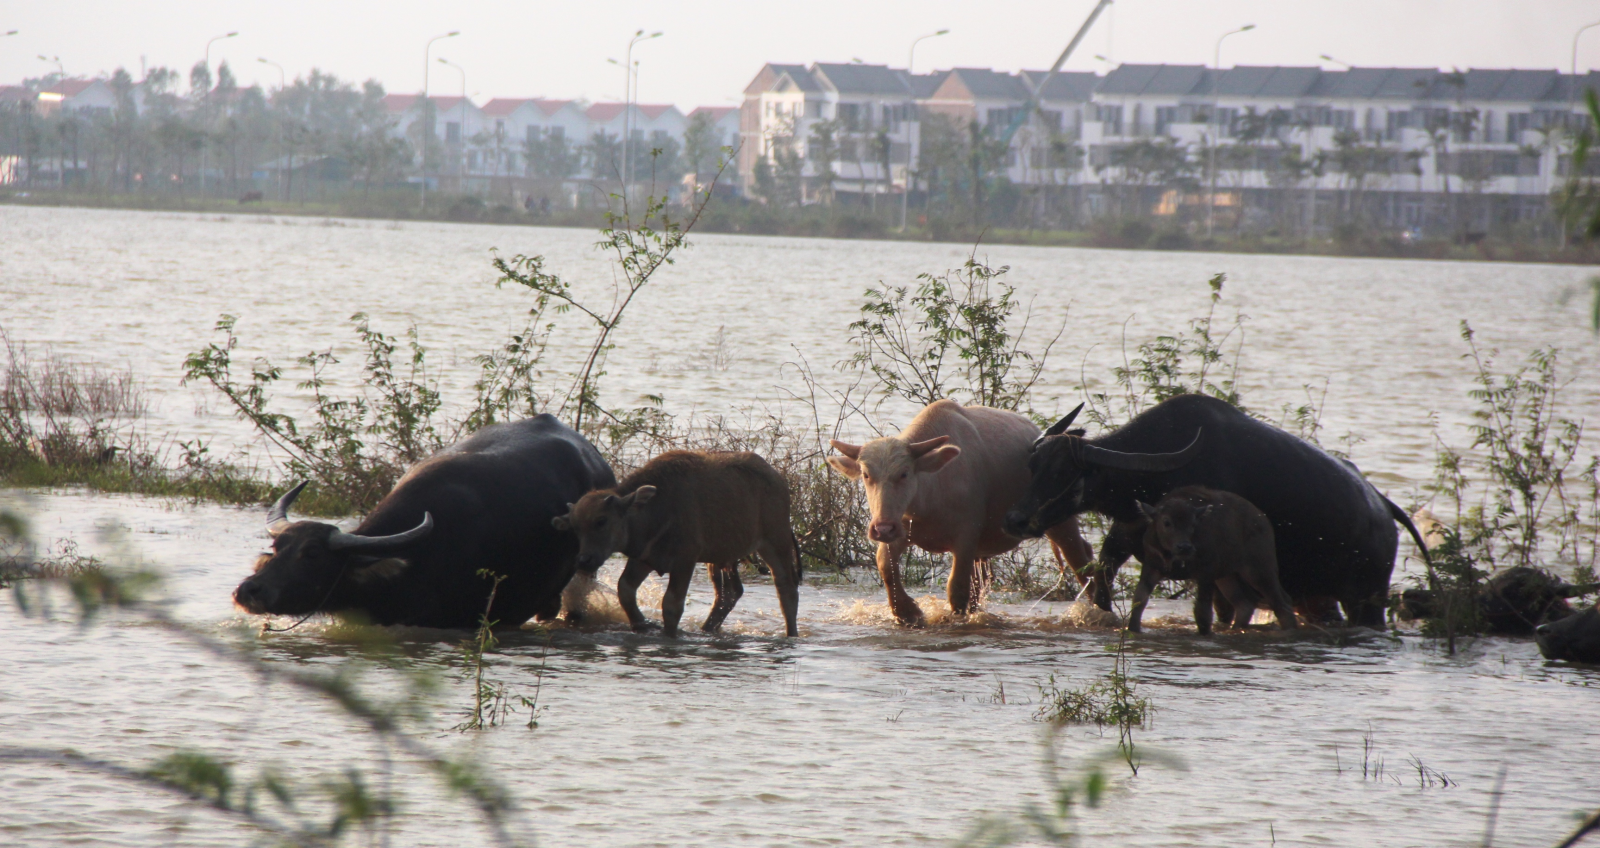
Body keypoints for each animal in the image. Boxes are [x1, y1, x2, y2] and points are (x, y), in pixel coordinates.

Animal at [551, 450, 801, 638]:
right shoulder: (643, 558)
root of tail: (778, 479)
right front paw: (641, 624)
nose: (584, 560)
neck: (658, 509)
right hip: (720, 558)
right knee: (728, 594)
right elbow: (625, 590)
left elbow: (672, 605)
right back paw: (707, 629)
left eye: (601, 521)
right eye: (575, 527)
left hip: (775, 542)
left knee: (786, 590)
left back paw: (791, 634)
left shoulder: (684, 561)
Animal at [825, 399, 1095, 627]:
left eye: (904, 473)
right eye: (866, 474)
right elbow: (885, 566)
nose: (882, 528)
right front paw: (907, 612)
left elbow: (957, 588)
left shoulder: (965, 539)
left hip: (1060, 521)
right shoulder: (901, 527)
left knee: (1078, 559)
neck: (931, 492)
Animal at [1127, 486, 1298, 634]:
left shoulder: (1205, 574)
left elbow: (1203, 611)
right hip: (1227, 576)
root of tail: (1263, 520)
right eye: (1166, 522)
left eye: (1193, 523)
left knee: (1282, 604)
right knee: (1245, 604)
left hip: (1259, 570)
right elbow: (1139, 599)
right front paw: (1133, 629)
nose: (1184, 547)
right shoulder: (1152, 566)